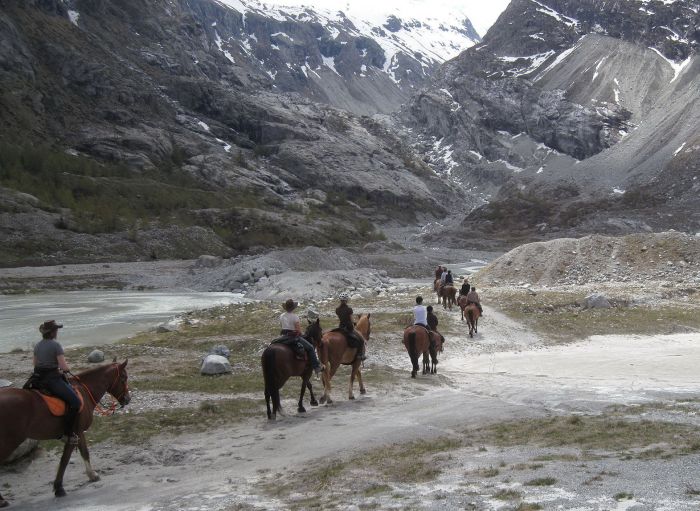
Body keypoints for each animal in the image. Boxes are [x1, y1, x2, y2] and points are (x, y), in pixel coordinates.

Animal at [0, 362, 131, 506]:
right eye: (124, 378)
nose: (127, 399)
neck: (84, 390)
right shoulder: (75, 433)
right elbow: (70, 458)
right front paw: (62, 487)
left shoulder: (76, 435)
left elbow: (76, 455)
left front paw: (87, 477)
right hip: (9, 442)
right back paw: (2, 500)